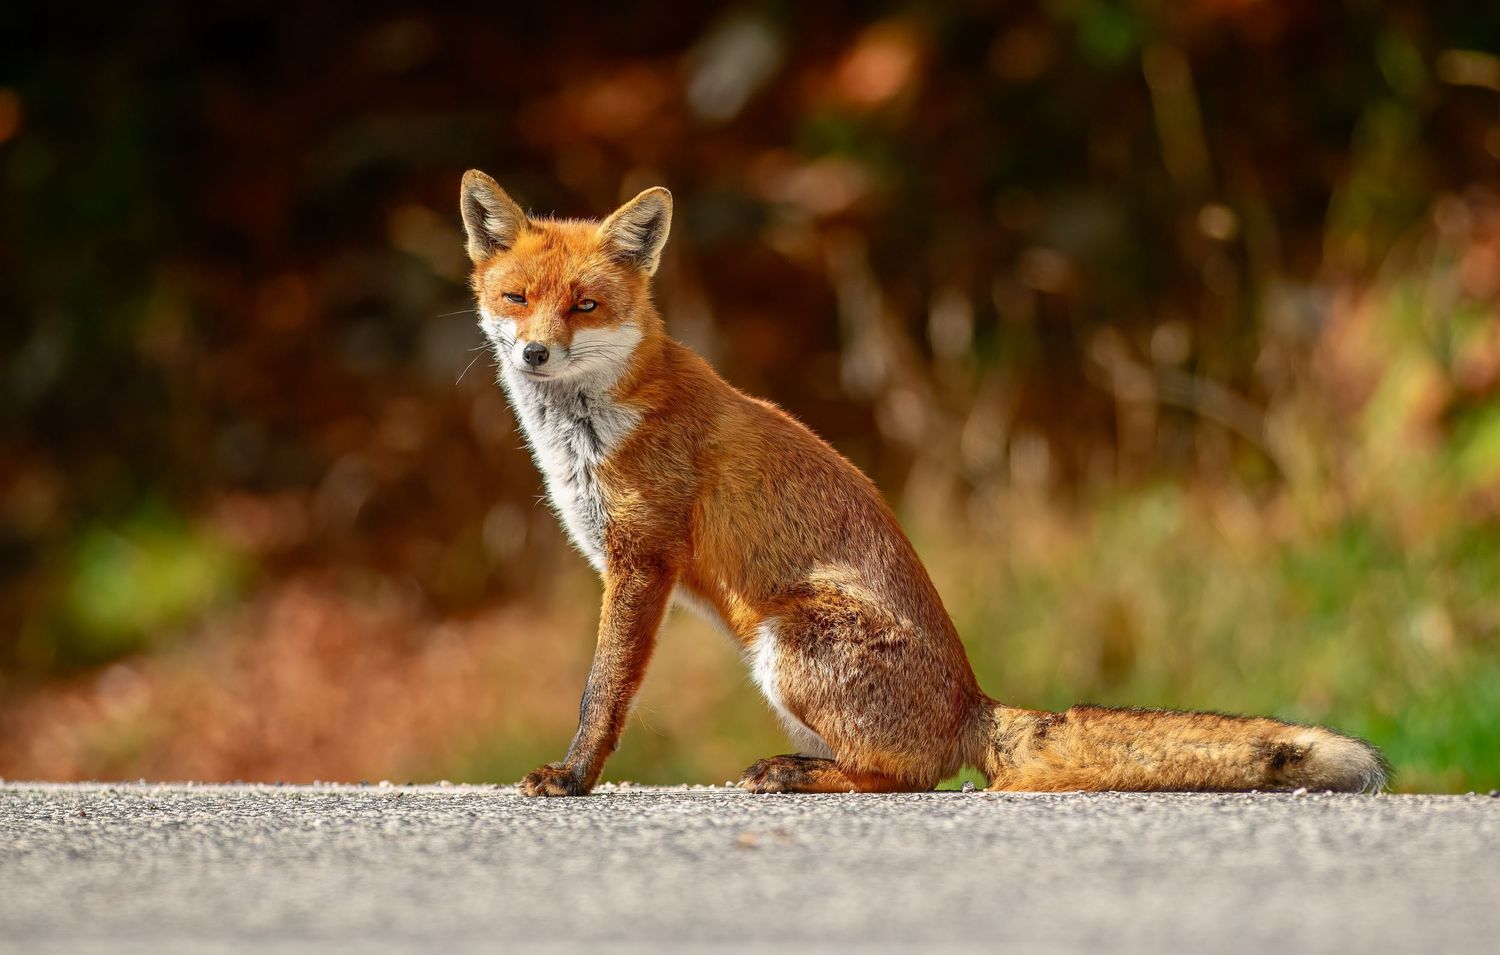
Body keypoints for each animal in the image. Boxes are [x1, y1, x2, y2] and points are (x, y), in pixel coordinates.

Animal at [459, 169, 1389, 796]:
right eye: (516, 298)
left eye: (584, 305)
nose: (533, 354)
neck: (589, 431)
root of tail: (970, 701)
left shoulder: (641, 561)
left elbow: (604, 692)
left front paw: (573, 776)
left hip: (790, 638)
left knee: (908, 776)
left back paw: (798, 774)